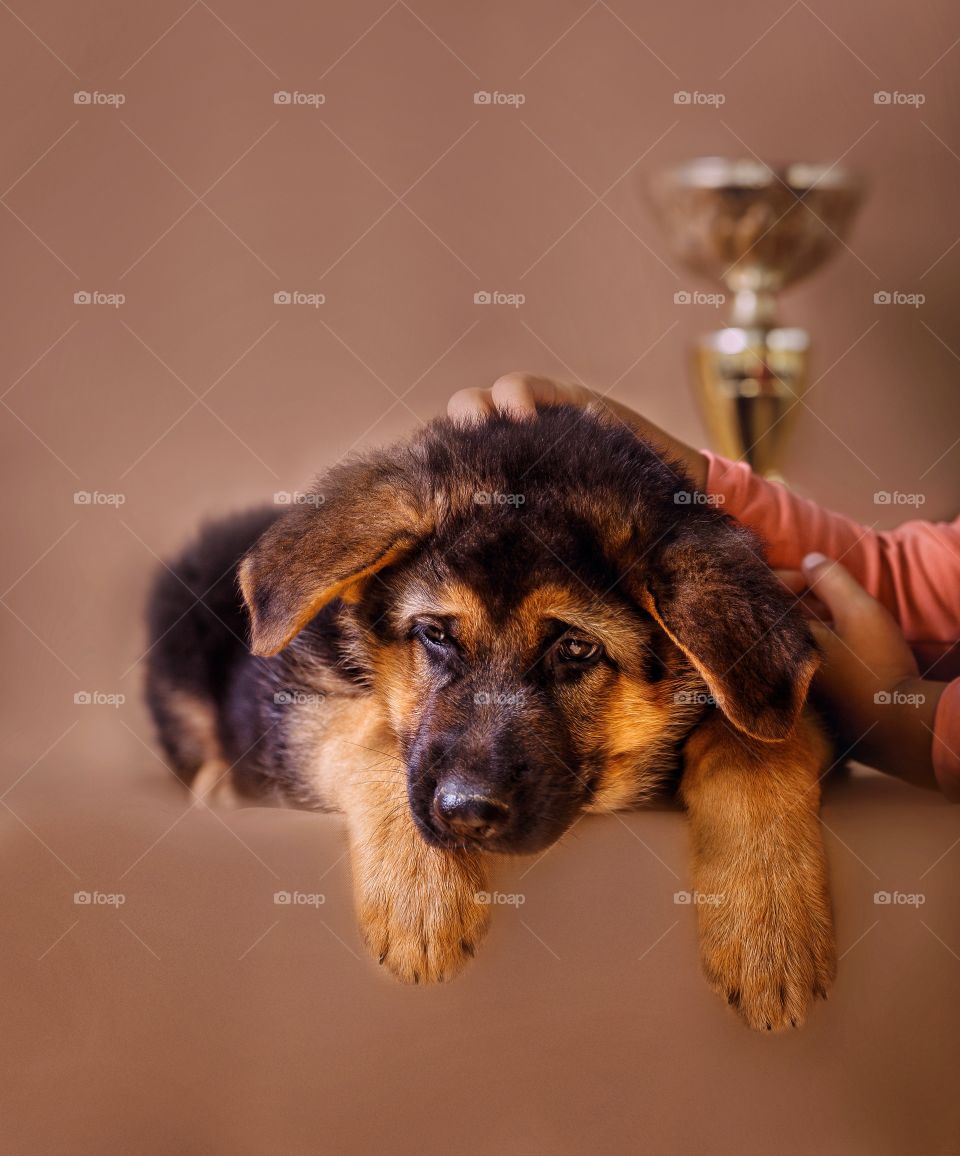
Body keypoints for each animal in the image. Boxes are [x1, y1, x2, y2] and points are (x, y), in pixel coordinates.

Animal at [146, 404, 837, 1031]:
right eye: (436, 634)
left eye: (576, 648)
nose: (466, 813)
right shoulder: (298, 702)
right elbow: (372, 726)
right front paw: (422, 894)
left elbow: (755, 740)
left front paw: (771, 929)